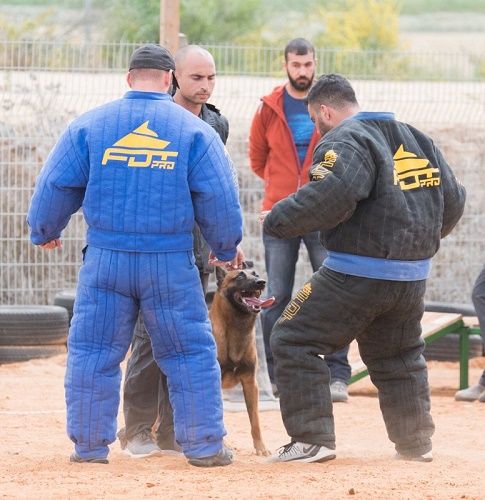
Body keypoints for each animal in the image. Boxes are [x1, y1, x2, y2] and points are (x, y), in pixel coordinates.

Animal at [209, 266, 274, 458]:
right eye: (239, 276)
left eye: (256, 274)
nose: (261, 282)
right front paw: (222, 445)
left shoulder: (250, 383)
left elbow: (255, 421)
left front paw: (261, 447)